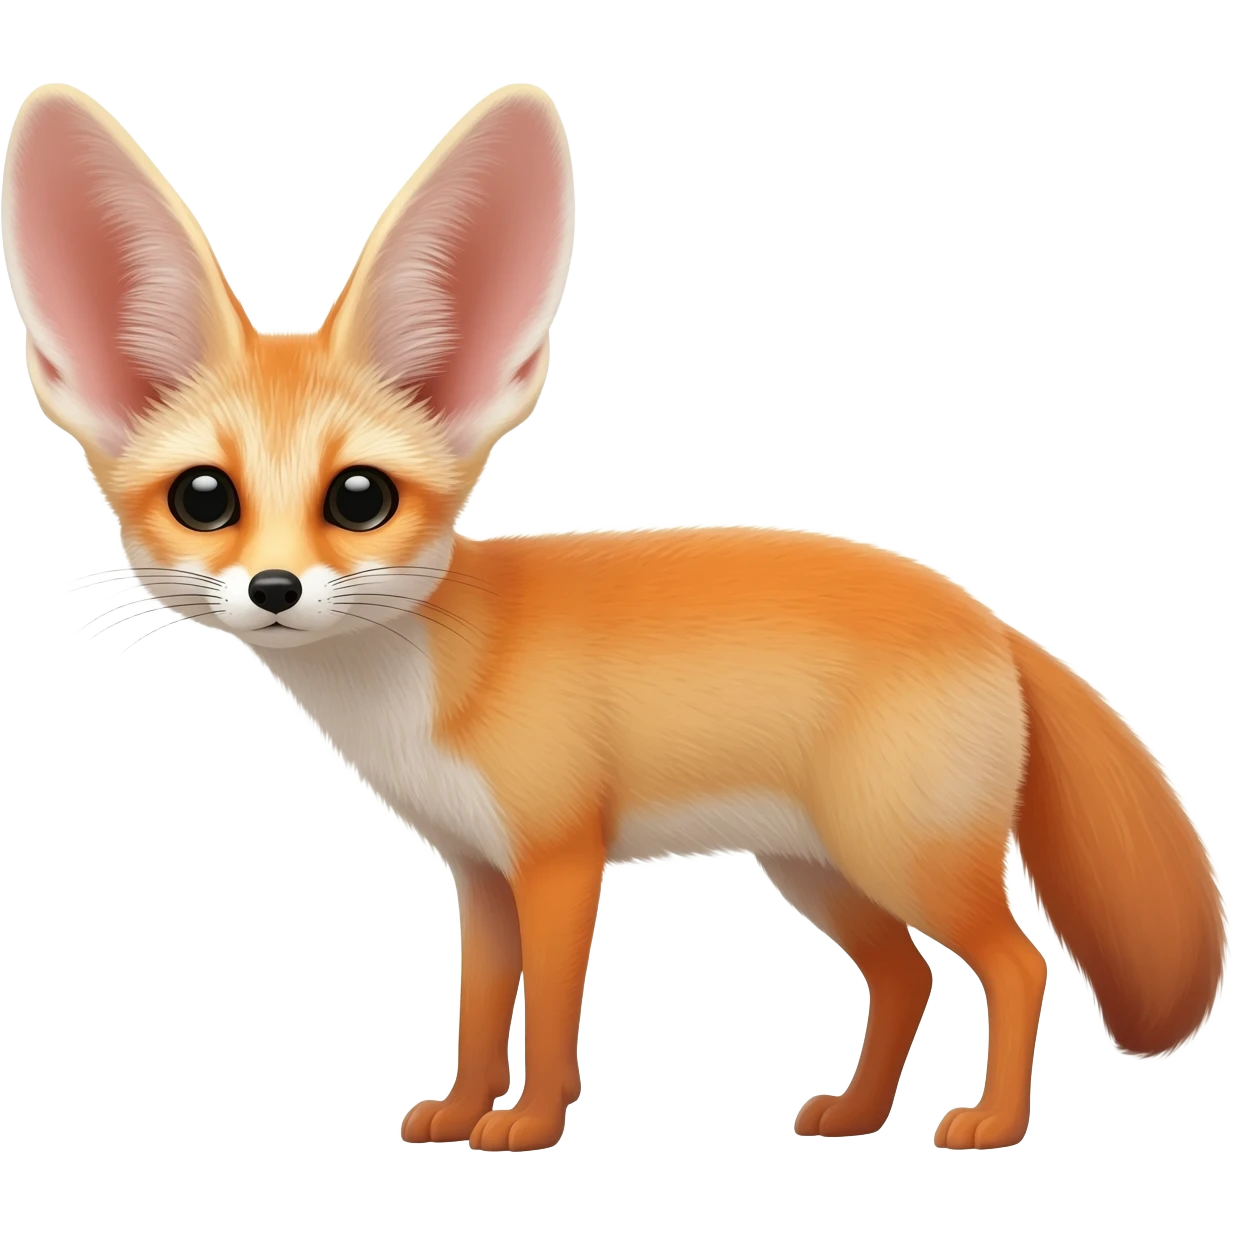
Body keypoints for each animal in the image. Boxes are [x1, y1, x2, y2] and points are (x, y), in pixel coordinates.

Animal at [4, 80, 1228, 1155]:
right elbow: (478, 1013)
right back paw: (855, 1112)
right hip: (819, 867)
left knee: (1016, 966)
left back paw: (991, 1124)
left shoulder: (558, 856)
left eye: (359, 498)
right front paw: (461, 1111)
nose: (274, 590)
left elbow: (549, 1016)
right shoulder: (476, 872)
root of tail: (989, 615)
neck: (420, 688)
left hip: (902, 855)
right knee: (907, 973)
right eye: (204, 499)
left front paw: (530, 1126)